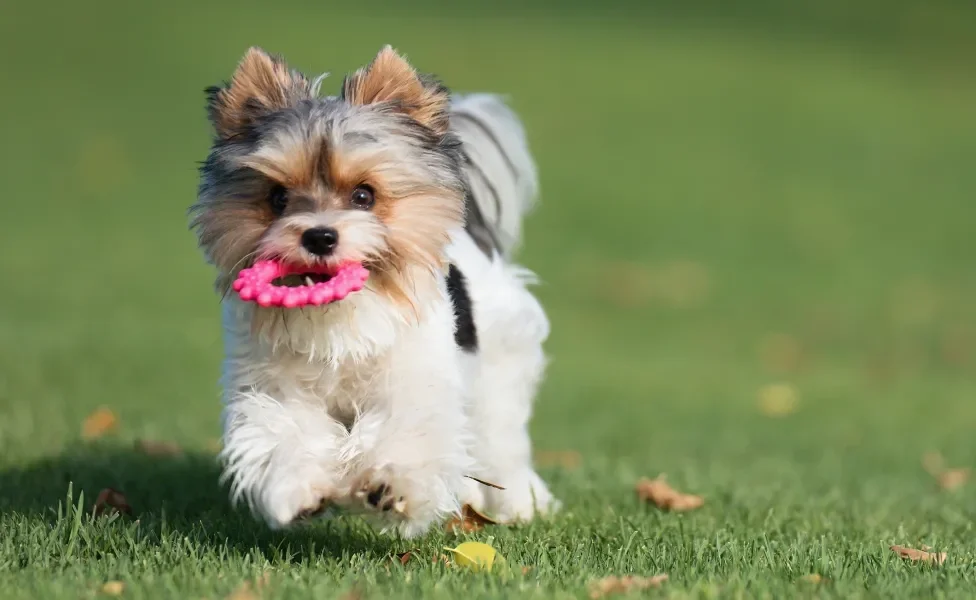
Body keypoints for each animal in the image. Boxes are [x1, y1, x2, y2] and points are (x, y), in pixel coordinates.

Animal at [191, 44, 556, 536]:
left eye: (364, 196)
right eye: (278, 198)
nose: (319, 236)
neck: (338, 316)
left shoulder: (415, 378)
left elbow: (408, 431)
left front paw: (390, 487)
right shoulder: (272, 385)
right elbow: (283, 431)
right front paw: (300, 491)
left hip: (498, 365)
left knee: (500, 441)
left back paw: (518, 504)